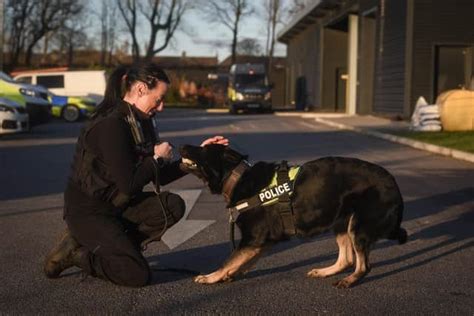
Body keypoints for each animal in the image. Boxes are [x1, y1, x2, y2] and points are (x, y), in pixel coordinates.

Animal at [179, 144, 408, 288]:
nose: (181, 146)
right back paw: (326, 271)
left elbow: (228, 260)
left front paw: (212, 277)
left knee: (363, 265)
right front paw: (231, 274)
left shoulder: (254, 238)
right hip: (341, 220)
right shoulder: (263, 240)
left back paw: (349, 281)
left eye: (203, 148)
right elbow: (242, 260)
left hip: (358, 226)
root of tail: (394, 184)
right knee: (347, 259)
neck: (238, 178)